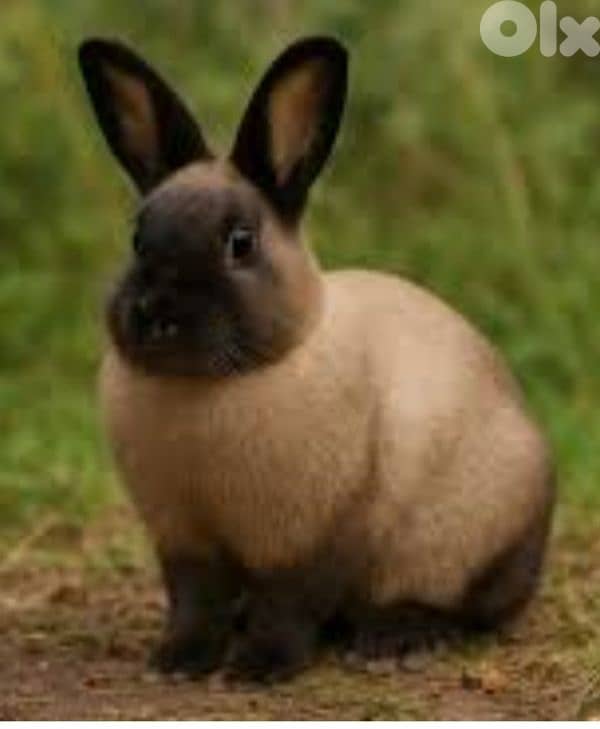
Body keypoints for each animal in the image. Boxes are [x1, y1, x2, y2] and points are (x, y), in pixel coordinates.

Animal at [78, 35, 555, 683]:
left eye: (241, 243)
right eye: (137, 239)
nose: (155, 315)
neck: (211, 385)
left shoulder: (314, 538)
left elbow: (291, 605)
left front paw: (258, 669)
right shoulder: (185, 542)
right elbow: (195, 605)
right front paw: (177, 663)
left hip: (474, 536)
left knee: (465, 609)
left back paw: (396, 639)